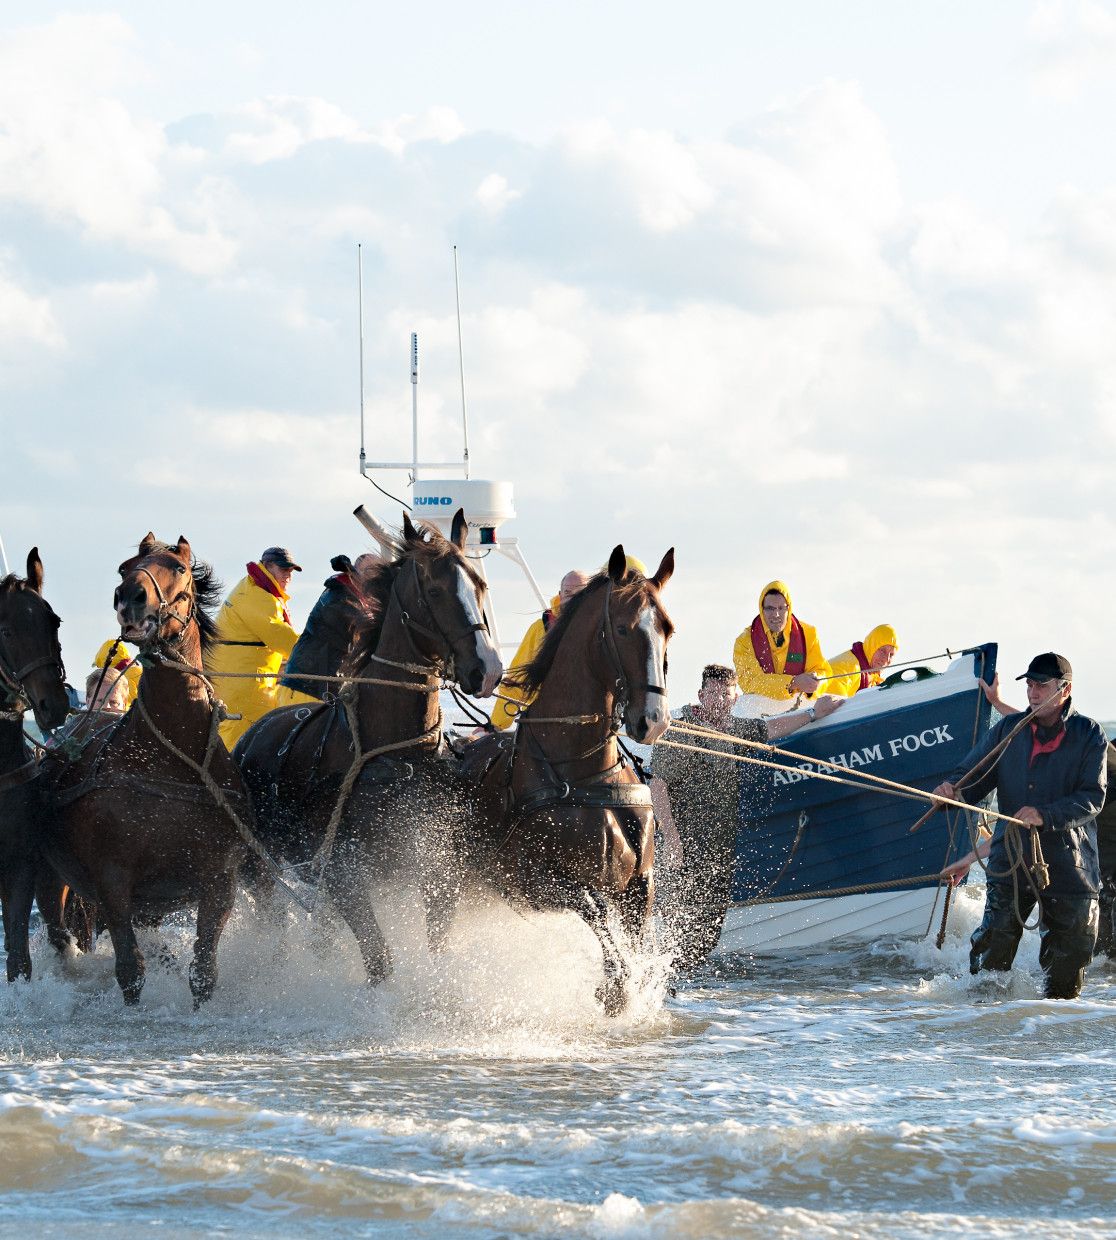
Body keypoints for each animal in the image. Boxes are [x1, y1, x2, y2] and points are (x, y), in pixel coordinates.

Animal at [43, 535, 248, 1006]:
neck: (170, 760)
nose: (130, 597)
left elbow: (203, 971)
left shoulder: (219, 879)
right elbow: (130, 970)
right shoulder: (113, 878)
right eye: (124, 568)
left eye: (178, 567)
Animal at [238, 508, 503, 982]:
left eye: (480, 584)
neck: (395, 753)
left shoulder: (437, 871)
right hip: (259, 867)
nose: (487, 669)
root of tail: (253, 733)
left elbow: (437, 948)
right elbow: (380, 961)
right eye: (435, 588)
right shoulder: (343, 876)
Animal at [458, 548, 674, 1011]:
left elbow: (639, 946)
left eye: (667, 627)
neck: (586, 773)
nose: (653, 720)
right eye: (624, 628)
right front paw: (612, 988)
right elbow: (598, 916)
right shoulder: (538, 883)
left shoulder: (641, 883)